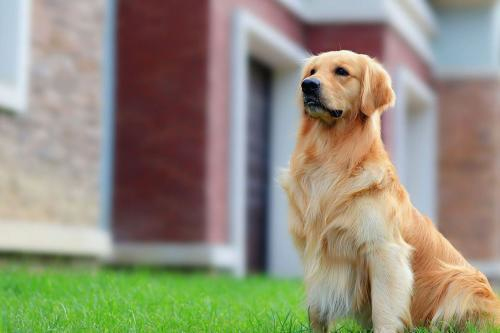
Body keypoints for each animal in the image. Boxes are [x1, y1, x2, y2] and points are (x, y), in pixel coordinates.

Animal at [282, 50, 500, 330]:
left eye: (341, 71)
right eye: (312, 72)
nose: (307, 85)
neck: (331, 155)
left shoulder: (384, 250)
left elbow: (384, 309)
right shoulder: (315, 251)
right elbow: (317, 310)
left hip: (460, 281)